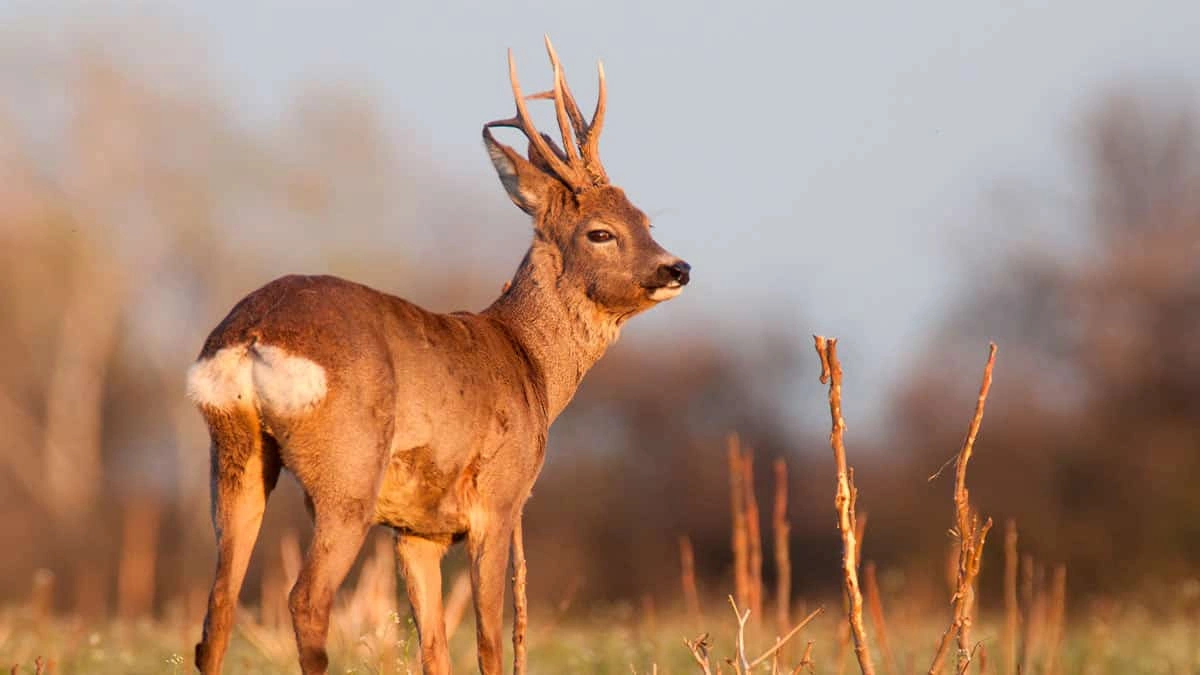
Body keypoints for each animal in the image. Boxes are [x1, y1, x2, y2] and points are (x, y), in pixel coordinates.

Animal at [186, 37, 690, 675]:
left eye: (645, 220)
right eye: (601, 232)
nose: (678, 268)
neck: (529, 365)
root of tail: (252, 334)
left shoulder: (416, 530)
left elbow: (434, 648)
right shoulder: (499, 498)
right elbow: (489, 642)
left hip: (234, 454)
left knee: (217, 610)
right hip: (347, 471)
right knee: (305, 600)